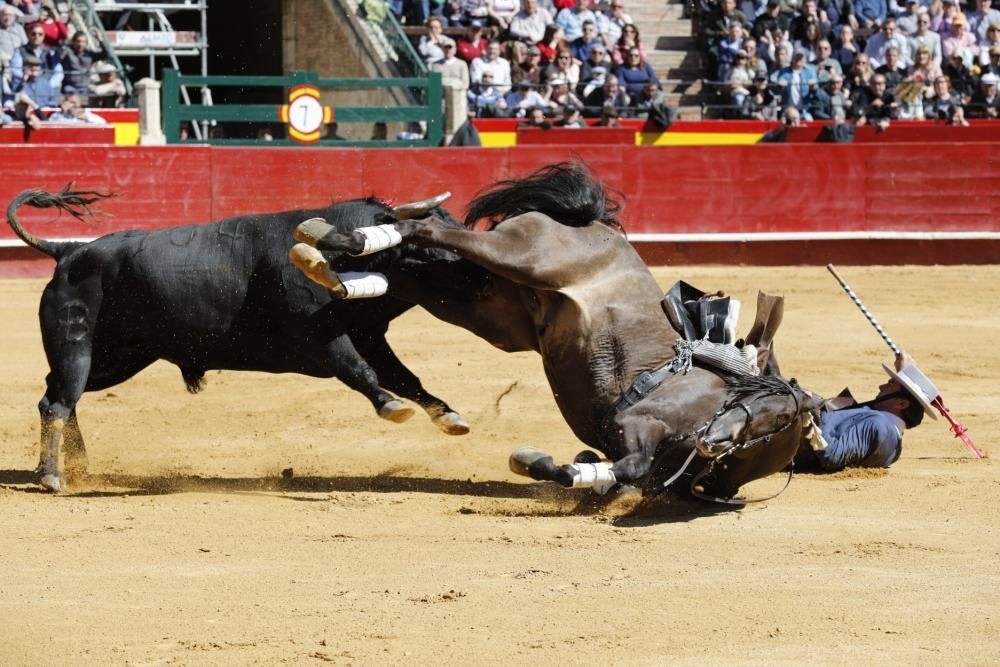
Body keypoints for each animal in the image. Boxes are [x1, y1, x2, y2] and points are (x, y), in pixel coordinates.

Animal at [3, 187, 480, 490]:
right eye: (425, 242)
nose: (473, 262)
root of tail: (68, 251)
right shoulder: (321, 338)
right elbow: (362, 373)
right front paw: (392, 408)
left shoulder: (369, 335)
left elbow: (405, 377)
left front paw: (449, 418)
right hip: (78, 347)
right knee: (57, 401)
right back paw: (52, 476)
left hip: (118, 358)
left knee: (61, 395)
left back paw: (74, 466)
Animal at [290, 164, 820, 504]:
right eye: (771, 416)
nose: (712, 444)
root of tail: (593, 222)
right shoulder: (638, 418)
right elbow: (632, 464)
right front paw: (536, 462)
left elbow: (622, 475)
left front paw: (549, 465)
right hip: (521, 256)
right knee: (434, 235)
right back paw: (333, 239)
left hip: (492, 307)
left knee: (415, 268)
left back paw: (329, 265)